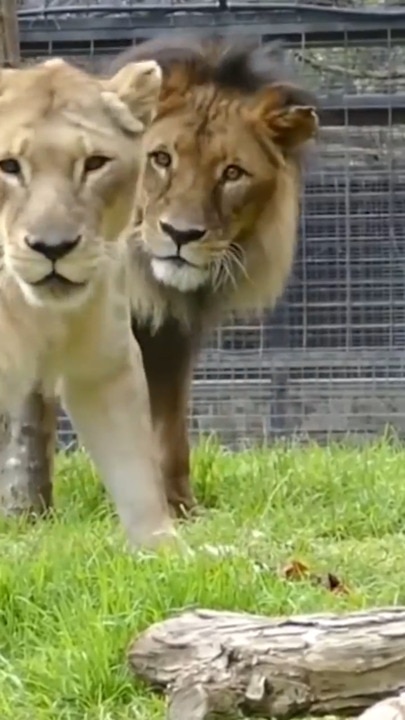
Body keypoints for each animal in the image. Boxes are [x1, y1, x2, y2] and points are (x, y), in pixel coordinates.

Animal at [0, 57, 174, 544]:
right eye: (8, 166)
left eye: (94, 164)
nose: (53, 247)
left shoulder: (105, 363)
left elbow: (137, 474)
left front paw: (168, 552)